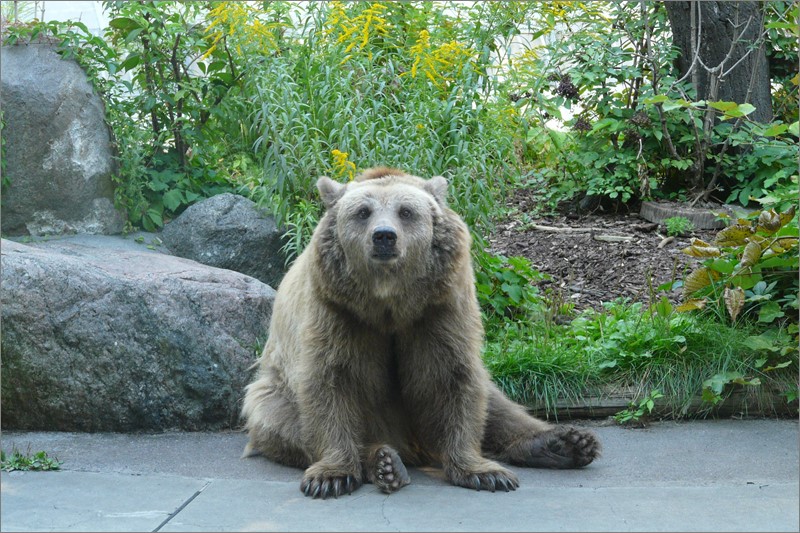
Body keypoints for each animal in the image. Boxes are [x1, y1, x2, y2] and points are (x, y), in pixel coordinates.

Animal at [242, 166, 600, 498]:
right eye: (363, 212)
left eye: (406, 211)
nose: (384, 236)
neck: (388, 302)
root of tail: (410, 443)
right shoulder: (338, 312)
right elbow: (330, 380)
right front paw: (331, 476)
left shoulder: (438, 310)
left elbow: (454, 376)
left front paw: (483, 471)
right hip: (275, 391)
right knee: (281, 421)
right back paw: (385, 462)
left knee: (498, 403)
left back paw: (567, 442)